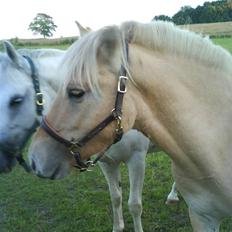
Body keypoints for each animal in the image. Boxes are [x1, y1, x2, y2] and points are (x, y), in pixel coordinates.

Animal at [0, 41, 178, 232]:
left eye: (16, 100)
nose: (1, 158)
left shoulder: (136, 160)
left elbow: (135, 205)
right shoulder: (107, 162)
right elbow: (116, 197)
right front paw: (118, 227)